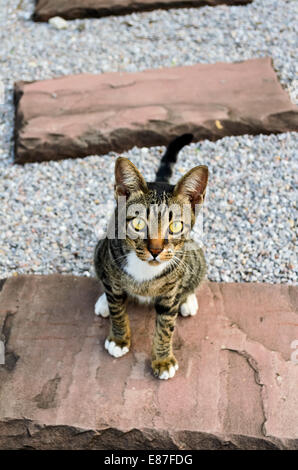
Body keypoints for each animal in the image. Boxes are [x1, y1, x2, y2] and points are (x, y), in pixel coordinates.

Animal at [94, 134, 208, 380]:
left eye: (175, 226)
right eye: (138, 223)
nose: (155, 250)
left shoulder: (170, 294)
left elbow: (166, 326)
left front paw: (163, 360)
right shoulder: (110, 261)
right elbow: (117, 308)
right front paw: (119, 339)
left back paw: (188, 299)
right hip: (99, 251)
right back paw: (104, 301)